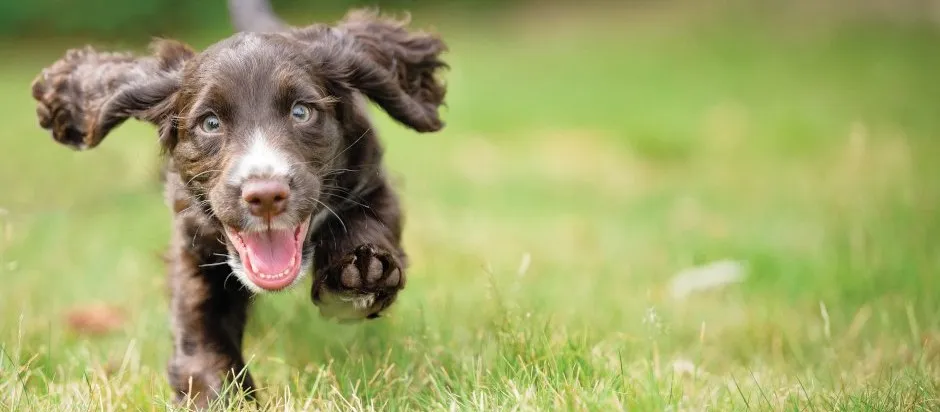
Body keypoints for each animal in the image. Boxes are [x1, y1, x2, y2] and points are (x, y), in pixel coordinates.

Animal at [25, 1, 444, 408]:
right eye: (210, 123)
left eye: (301, 112)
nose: (266, 195)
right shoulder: (191, 241)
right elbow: (198, 323)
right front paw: (213, 396)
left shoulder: (372, 178)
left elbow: (371, 218)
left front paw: (361, 271)